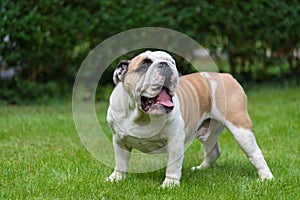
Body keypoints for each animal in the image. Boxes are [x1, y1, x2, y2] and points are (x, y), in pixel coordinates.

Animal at [106, 50, 274, 188]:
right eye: (145, 63)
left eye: (172, 62)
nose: (165, 64)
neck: (141, 116)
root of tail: (225, 76)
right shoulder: (119, 140)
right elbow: (120, 161)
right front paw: (116, 178)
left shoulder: (175, 141)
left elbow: (173, 165)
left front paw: (170, 185)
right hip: (209, 133)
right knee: (213, 151)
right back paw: (201, 169)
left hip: (240, 127)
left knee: (254, 153)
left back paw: (266, 178)